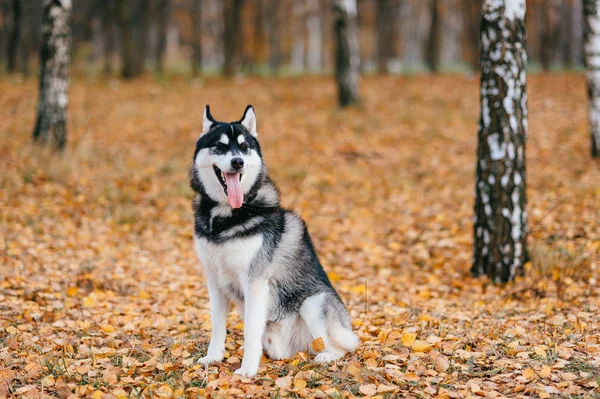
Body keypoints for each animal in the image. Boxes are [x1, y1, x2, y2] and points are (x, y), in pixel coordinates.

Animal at [190, 105, 358, 378]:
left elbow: (250, 331)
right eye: (220, 146)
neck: (227, 214)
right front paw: (213, 357)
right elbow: (217, 326)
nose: (238, 162)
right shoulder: (214, 280)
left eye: (244, 146)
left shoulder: (255, 282)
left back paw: (325, 357)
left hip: (313, 303)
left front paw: (247, 370)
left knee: (339, 347)